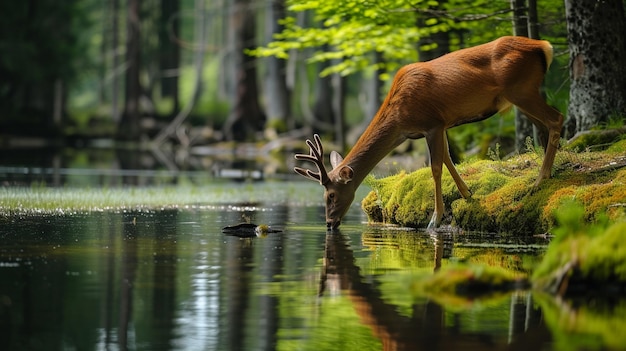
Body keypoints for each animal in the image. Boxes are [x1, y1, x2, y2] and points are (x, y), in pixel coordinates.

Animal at [294, 36, 564, 231]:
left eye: (330, 195)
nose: (329, 224)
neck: (399, 119)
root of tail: (544, 46)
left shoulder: (432, 122)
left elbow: (436, 167)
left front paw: (435, 219)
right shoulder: (440, 125)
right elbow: (448, 159)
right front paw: (467, 193)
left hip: (521, 90)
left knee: (556, 118)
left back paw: (541, 178)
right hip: (521, 96)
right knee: (544, 126)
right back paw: (547, 173)